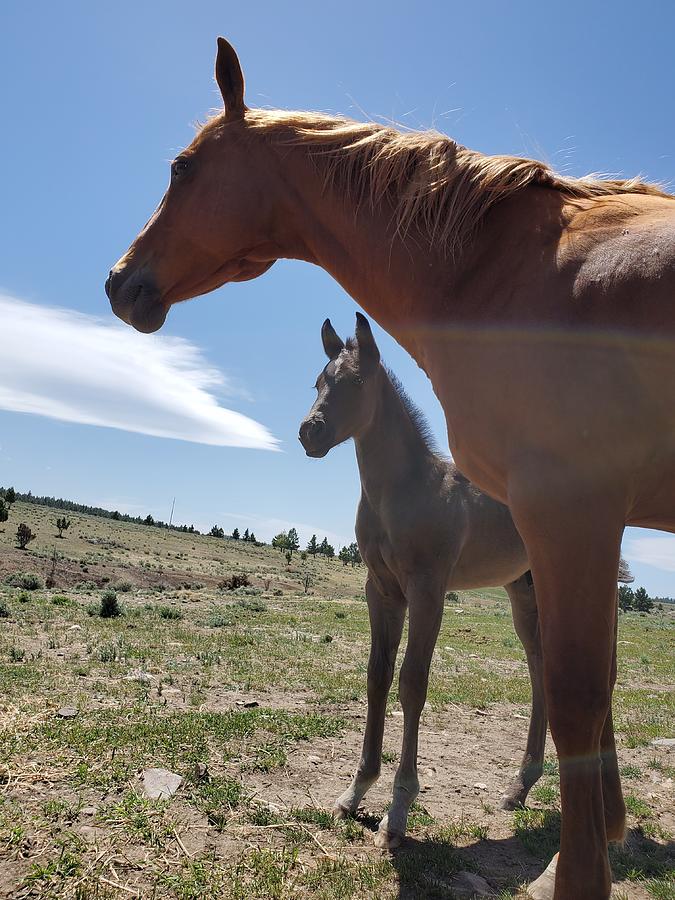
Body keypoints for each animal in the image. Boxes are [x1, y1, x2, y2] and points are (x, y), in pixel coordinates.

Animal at [104, 38, 675, 896]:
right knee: (545, 670)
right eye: (315, 380)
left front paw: (405, 813)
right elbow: (379, 678)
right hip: (526, 583)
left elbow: (429, 682)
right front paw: (356, 791)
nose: (118, 282)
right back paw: (548, 795)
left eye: (182, 167)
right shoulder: (387, 585)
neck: (498, 269)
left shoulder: (515, 539)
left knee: (568, 681)